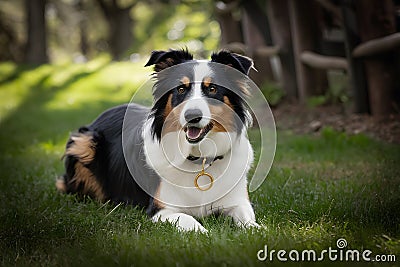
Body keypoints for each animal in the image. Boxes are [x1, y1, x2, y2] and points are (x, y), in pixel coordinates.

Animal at [57, 49, 260, 232]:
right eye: (181, 89)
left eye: (212, 89)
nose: (192, 116)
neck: (199, 158)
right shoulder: (161, 210)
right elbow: (190, 220)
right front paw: (206, 234)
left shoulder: (238, 202)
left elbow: (248, 220)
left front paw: (258, 229)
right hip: (83, 142)